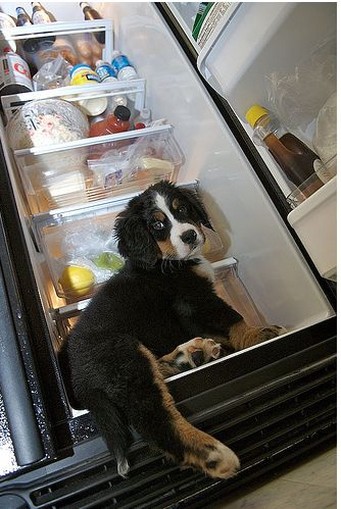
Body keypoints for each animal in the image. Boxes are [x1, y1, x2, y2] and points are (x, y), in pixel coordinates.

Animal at [61, 181, 282, 478]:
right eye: (157, 224)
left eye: (183, 209)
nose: (189, 236)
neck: (163, 262)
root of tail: (78, 377)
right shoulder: (194, 300)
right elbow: (232, 318)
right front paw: (258, 334)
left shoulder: (193, 312)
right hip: (124, 357)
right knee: (152, 416)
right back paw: (213, 454)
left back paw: (188, 356)